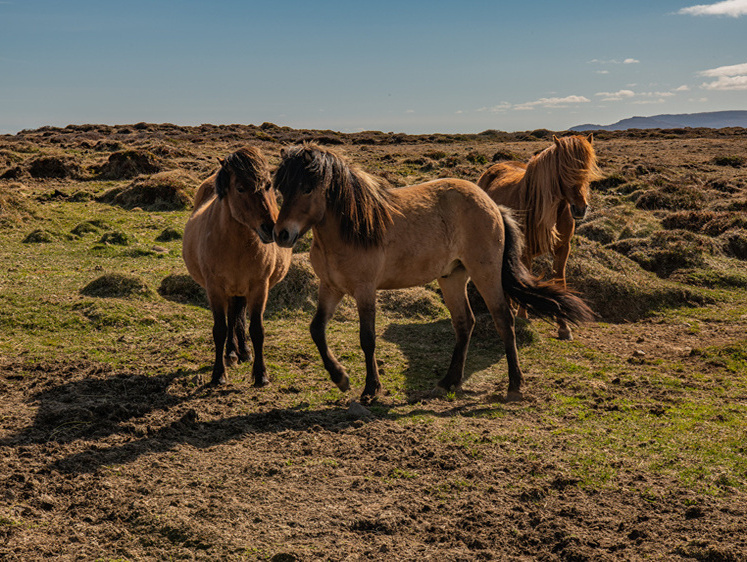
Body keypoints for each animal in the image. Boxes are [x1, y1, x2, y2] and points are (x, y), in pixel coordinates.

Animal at [183, 145, 294, 384]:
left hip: (241, 290)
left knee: (238, 315)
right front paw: (218, 374)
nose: (270, 229)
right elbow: (220, 329)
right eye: (240, 188)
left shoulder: (259, 287)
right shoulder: (215, 288)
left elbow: (257, 330)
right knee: (232, 317)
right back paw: (232, 353)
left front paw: (261, 375)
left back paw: (242, 351)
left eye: (268, 185)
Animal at [272, 142, 592, 400]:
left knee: (504, 319)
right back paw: (448, 382)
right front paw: (340, 378)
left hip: (485, 273)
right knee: (465, 323)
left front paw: (371, 389)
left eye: (307, 188)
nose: (282, 234)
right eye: (282, 188)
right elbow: (316, 330)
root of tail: (491, 204)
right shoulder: (330, 287)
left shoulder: (365, 290)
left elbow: (367, 338)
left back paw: (514, 386)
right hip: (452, 277)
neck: (354, 228)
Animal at [480, 133, 600, 340]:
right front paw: (522, 316)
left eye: (587, 170)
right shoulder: (525, 249)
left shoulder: (563, 248)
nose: (580, 209)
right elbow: (524, 278)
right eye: (563, 170)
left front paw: (564, 327)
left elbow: (559, 280)